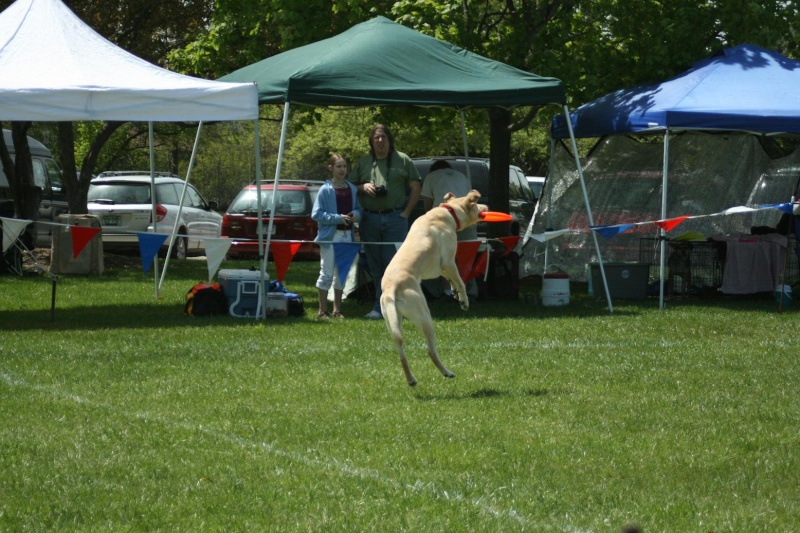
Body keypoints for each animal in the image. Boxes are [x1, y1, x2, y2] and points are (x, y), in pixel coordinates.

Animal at [382, 189, 488, 384]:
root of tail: (390, 289)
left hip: (393, 320)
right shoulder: (448, 262)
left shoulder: (437, 269)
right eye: (477, 204)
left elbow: (451, 279)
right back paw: (447, 372)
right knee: (430, 350)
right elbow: (461, 281)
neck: (449, 212)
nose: (487, 206)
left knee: (400, 348)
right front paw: (464, 300)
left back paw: (411, 379)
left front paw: (455, 293)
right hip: (424, 315)